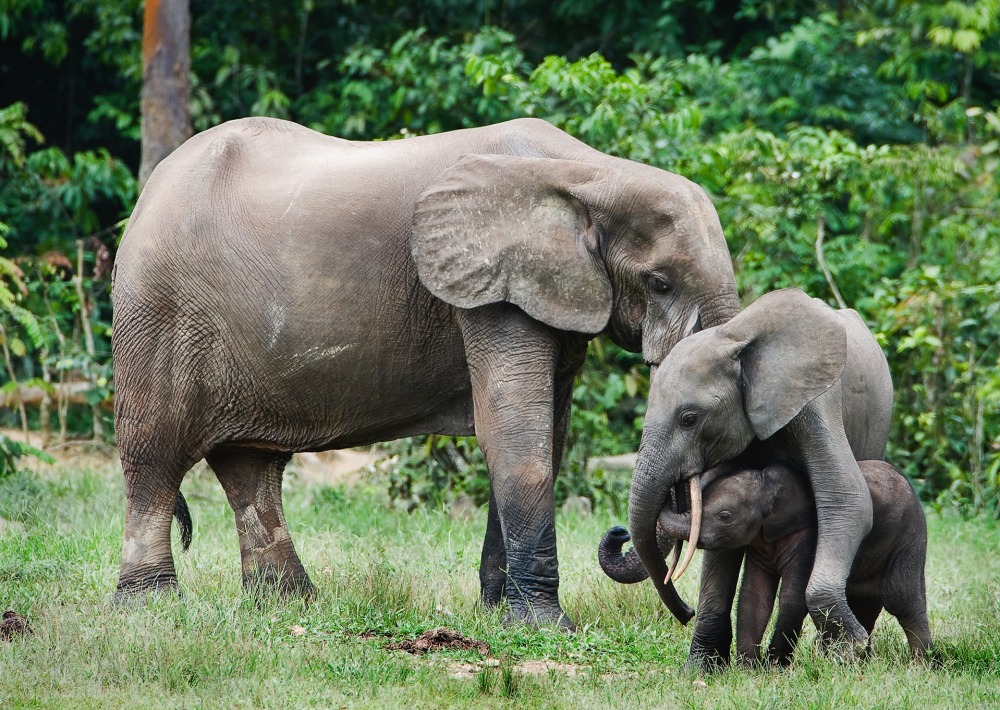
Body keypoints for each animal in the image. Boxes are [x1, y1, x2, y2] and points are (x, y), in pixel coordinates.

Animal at [113, 115, 740, 628]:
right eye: (660, 282)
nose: (682, 614)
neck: (591, 174)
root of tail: (150, 191)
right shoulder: (490, 289)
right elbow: (517, 436)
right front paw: (544, 628)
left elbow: (545, 435)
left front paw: (497, 615)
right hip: (157, 310)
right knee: (155, 454)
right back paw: (151, 607)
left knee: (251, 465)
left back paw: (286, 604)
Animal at [596, 462, 932, 668]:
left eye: (725, 516)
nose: (620, 532)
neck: (767, 484)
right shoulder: (760, 539)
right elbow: (754, 594)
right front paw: (749, 669)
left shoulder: (807, 534)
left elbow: (793, 596)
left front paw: (774, 668)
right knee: (862, 604)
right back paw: (852, 663)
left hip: (910, 535)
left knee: (901, 599)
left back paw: (923, 667)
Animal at [624, 286, 892, 664]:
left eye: (689, 419)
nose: (686, 611)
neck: (734, 339)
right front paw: (699, 670)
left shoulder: (815, 405)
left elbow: (847, 500)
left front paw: (848, 651)